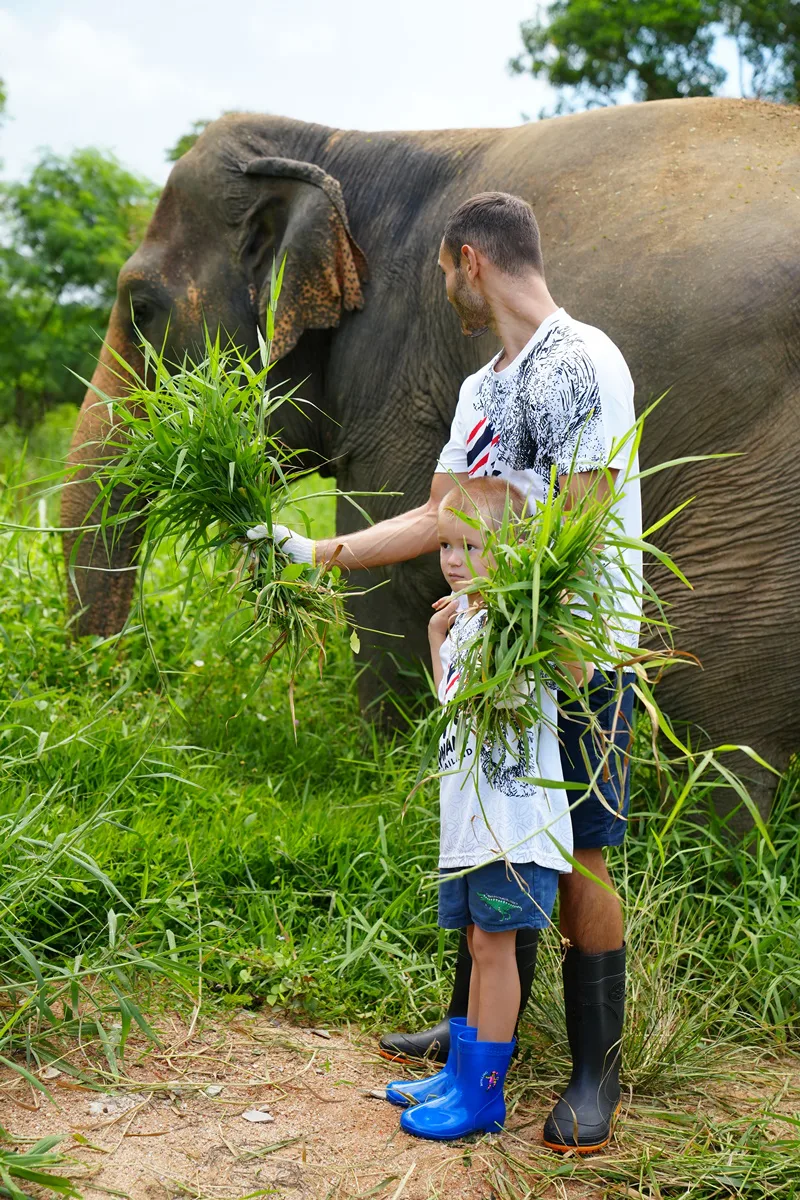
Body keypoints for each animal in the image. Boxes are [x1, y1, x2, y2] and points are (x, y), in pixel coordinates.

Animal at [62, 96, 800, 823]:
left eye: (142, 306)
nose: (113, 698)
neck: (339, 143)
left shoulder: (398, 376)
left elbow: (395, 574)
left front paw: (382, 776)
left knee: (711, 695)